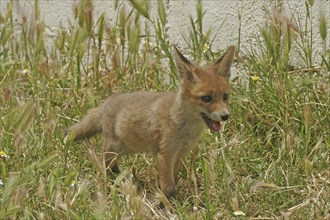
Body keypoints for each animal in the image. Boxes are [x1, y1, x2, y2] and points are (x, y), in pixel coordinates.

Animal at [65, 45, 235, 199]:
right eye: (206, 98)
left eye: (225, 96)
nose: (225, 116)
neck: (182, 126)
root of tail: (106, 103)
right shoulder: (165, 154)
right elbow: (168, 188)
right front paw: (168, 206)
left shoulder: (180, 153)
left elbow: (174, 180)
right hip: (113, 149)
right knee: (103, 166)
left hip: (126, 149)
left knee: (113, 168)